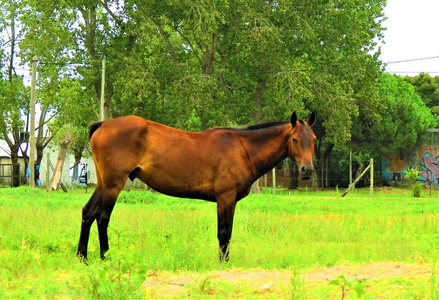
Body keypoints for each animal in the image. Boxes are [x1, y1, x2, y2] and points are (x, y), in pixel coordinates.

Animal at [76, 111, 316, 262]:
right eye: (295, 139)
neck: (243, 148)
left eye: (313, 139)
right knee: (102, 217)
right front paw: (222, 264)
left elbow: (228, 232)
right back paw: (106, 257)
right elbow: (224, 233)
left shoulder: (231, 200)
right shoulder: (225, 197)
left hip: (103, 183)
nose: (307, 170)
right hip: (113, 184)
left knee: (88, 213)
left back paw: (82, 257)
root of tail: (103, 124)